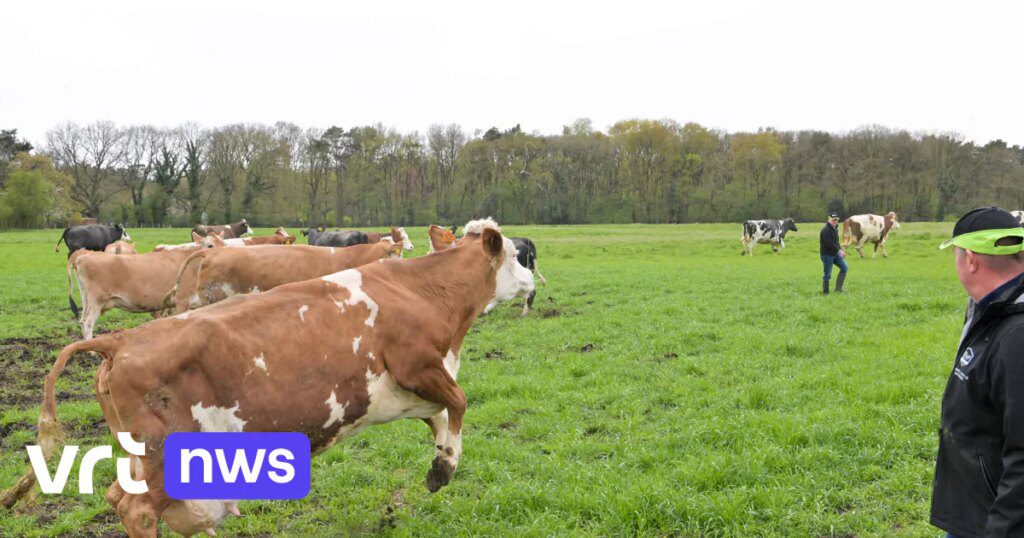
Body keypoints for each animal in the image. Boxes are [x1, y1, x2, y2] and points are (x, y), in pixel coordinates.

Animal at [66, 248, 201, 339]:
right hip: (97, 300)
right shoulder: (182, 301)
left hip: (86, 299)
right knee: (88, 322)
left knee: (82, 320)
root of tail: (83, 256)